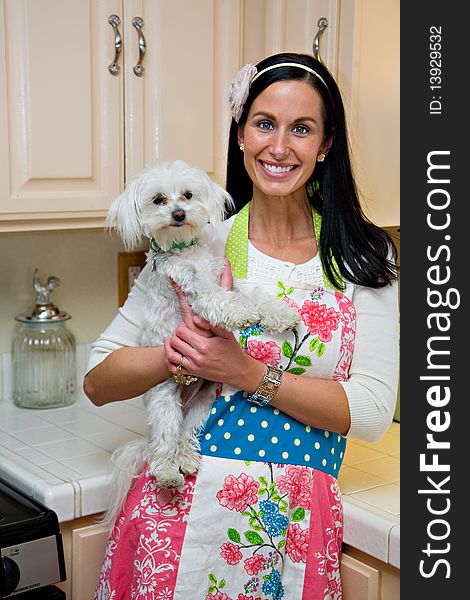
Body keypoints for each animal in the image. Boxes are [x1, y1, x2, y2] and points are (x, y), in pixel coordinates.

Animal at [103, 161, 302, 524]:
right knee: (164, 445)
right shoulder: (193, 287)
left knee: (185, 437)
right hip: (164, 405)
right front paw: (241, 314)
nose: (179, 214)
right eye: (159, 199)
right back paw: (169, 473)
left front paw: (279, 313)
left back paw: (187, 459)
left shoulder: (227, 278)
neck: (188, 251)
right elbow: (219, 299)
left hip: (202, 406)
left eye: (187, 195)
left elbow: (252, 295)